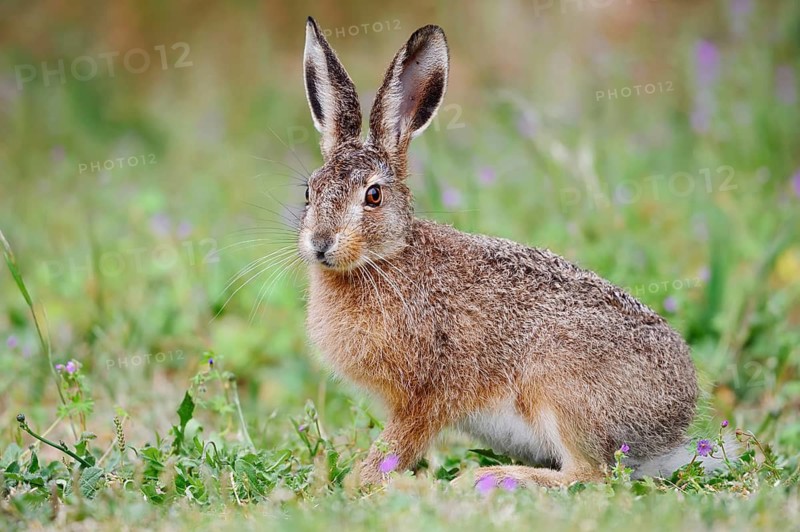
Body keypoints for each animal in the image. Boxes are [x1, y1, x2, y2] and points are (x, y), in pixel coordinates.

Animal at [297, 16, 708, 488]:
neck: (386, 259)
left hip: (559, 387)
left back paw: (487, 479)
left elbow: (397, 446)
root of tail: (670, 431)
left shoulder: (425, 395)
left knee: (590, 474)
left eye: (374, 195)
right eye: (309, 191)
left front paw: (360, 483)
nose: (321, 244)